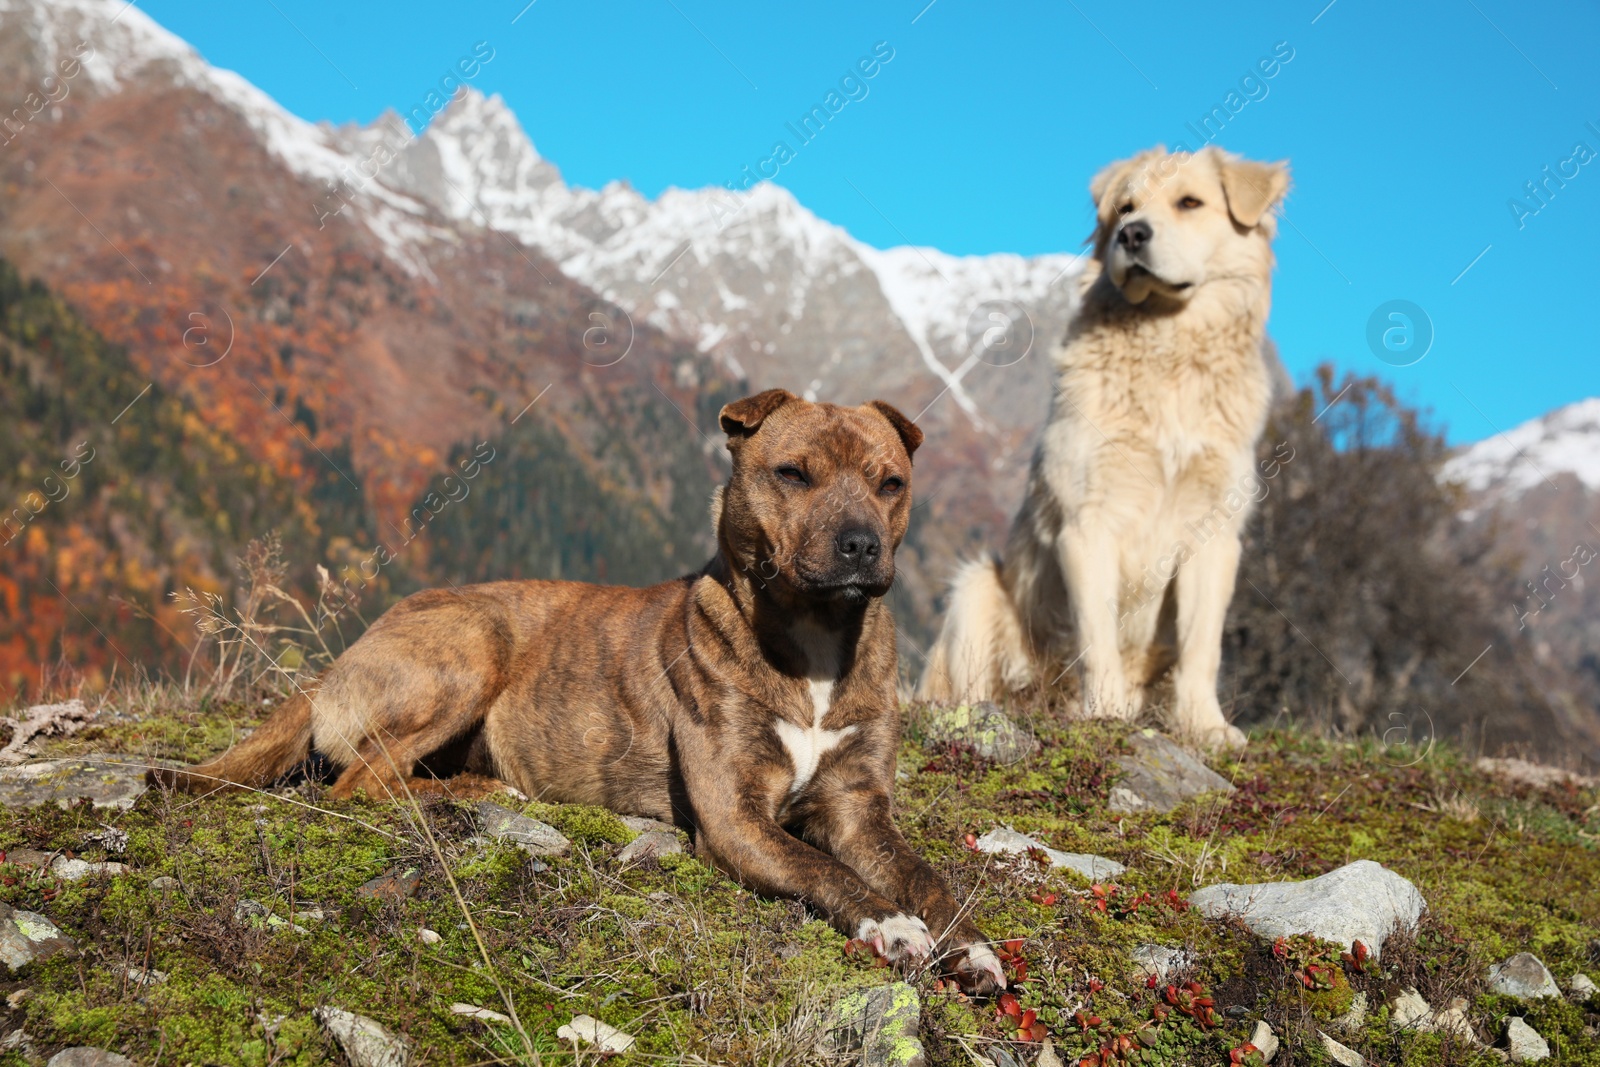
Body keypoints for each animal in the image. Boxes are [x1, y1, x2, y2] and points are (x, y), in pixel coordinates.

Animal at [150, 390, 998, 991]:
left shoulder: (859, 812)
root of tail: (339, 663)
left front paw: (974, 946)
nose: (861, 544)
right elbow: (826, 870)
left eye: (891, 483)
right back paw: (475, 794)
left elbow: (930, 877)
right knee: (361, 781)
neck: (816, 643)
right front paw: (892, 926)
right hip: (474, 643)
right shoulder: (737, 818)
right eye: (792, 473)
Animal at [928, 143, 1286, 751]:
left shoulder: (1214, 534)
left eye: (1190, 203)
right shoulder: (1085, 521)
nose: (1133, 234)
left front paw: (1206, 727)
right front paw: (1104, 712)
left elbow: (1202, 648)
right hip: (975, 587)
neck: (1169, 351)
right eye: (1125, 208)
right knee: (969, 688)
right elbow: (1096, 635)